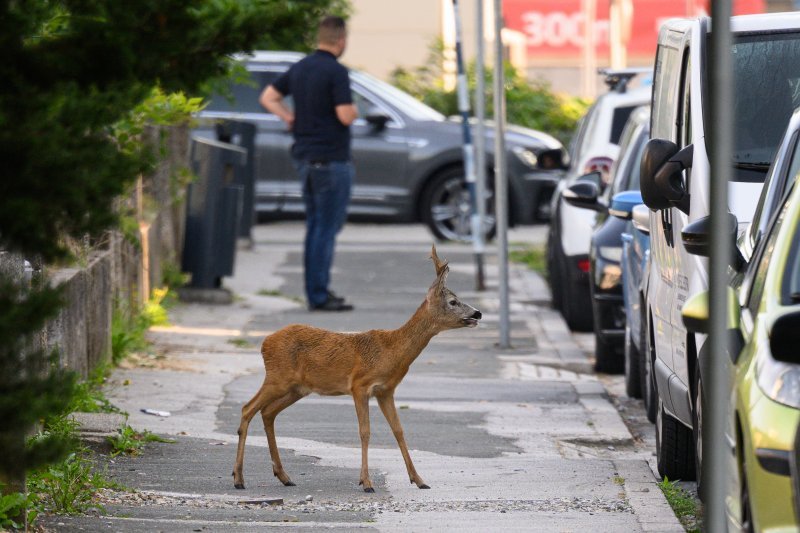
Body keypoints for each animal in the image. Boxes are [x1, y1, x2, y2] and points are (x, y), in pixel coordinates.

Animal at [231, 245, 482, 490]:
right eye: (453, 301)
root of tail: (265, 342)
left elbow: (399, 430)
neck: (392, 351)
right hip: (277, 378)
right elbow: (365, 431)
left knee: (267, 412)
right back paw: (239, 478)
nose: (477, 313)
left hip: (297, 388)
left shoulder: (386, 390)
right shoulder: (360, 386)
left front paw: (419, 480)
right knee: (247, 408)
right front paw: (367, 482)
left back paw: (283, 476)